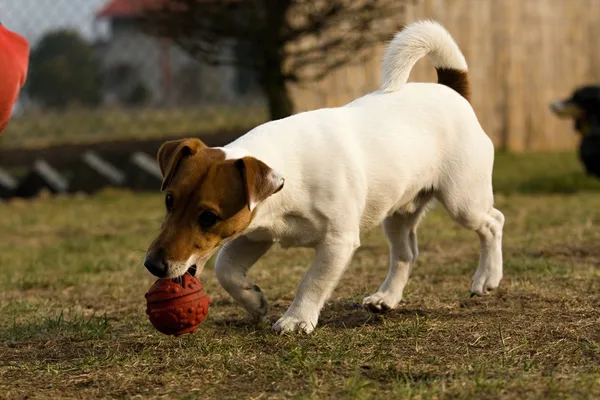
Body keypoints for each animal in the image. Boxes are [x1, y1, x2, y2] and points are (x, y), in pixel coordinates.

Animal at [145, 21, 506, 334]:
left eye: (208, 217)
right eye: (169, 201)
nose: (153, 265)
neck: (289, 175)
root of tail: (451, 89)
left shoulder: (338, 241)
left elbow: (312, 281)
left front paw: (295, 320)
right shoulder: (254, 233)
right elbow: (226, 270)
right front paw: (255, 301)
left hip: (463, 201)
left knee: (493, 222)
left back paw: (486, 278)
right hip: (396, 211)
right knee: (406, 254)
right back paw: (386, 298)